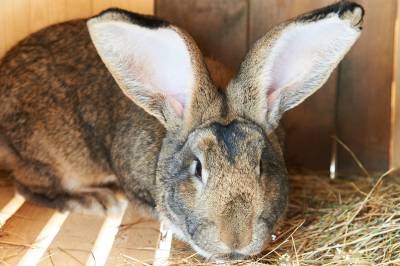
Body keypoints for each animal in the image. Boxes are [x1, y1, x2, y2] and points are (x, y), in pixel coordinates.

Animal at [0, 0, 362, 260]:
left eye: (261, 165)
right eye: (197, 168)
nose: (236, 238)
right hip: (55, 160)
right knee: (28, 186)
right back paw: (94, 200)